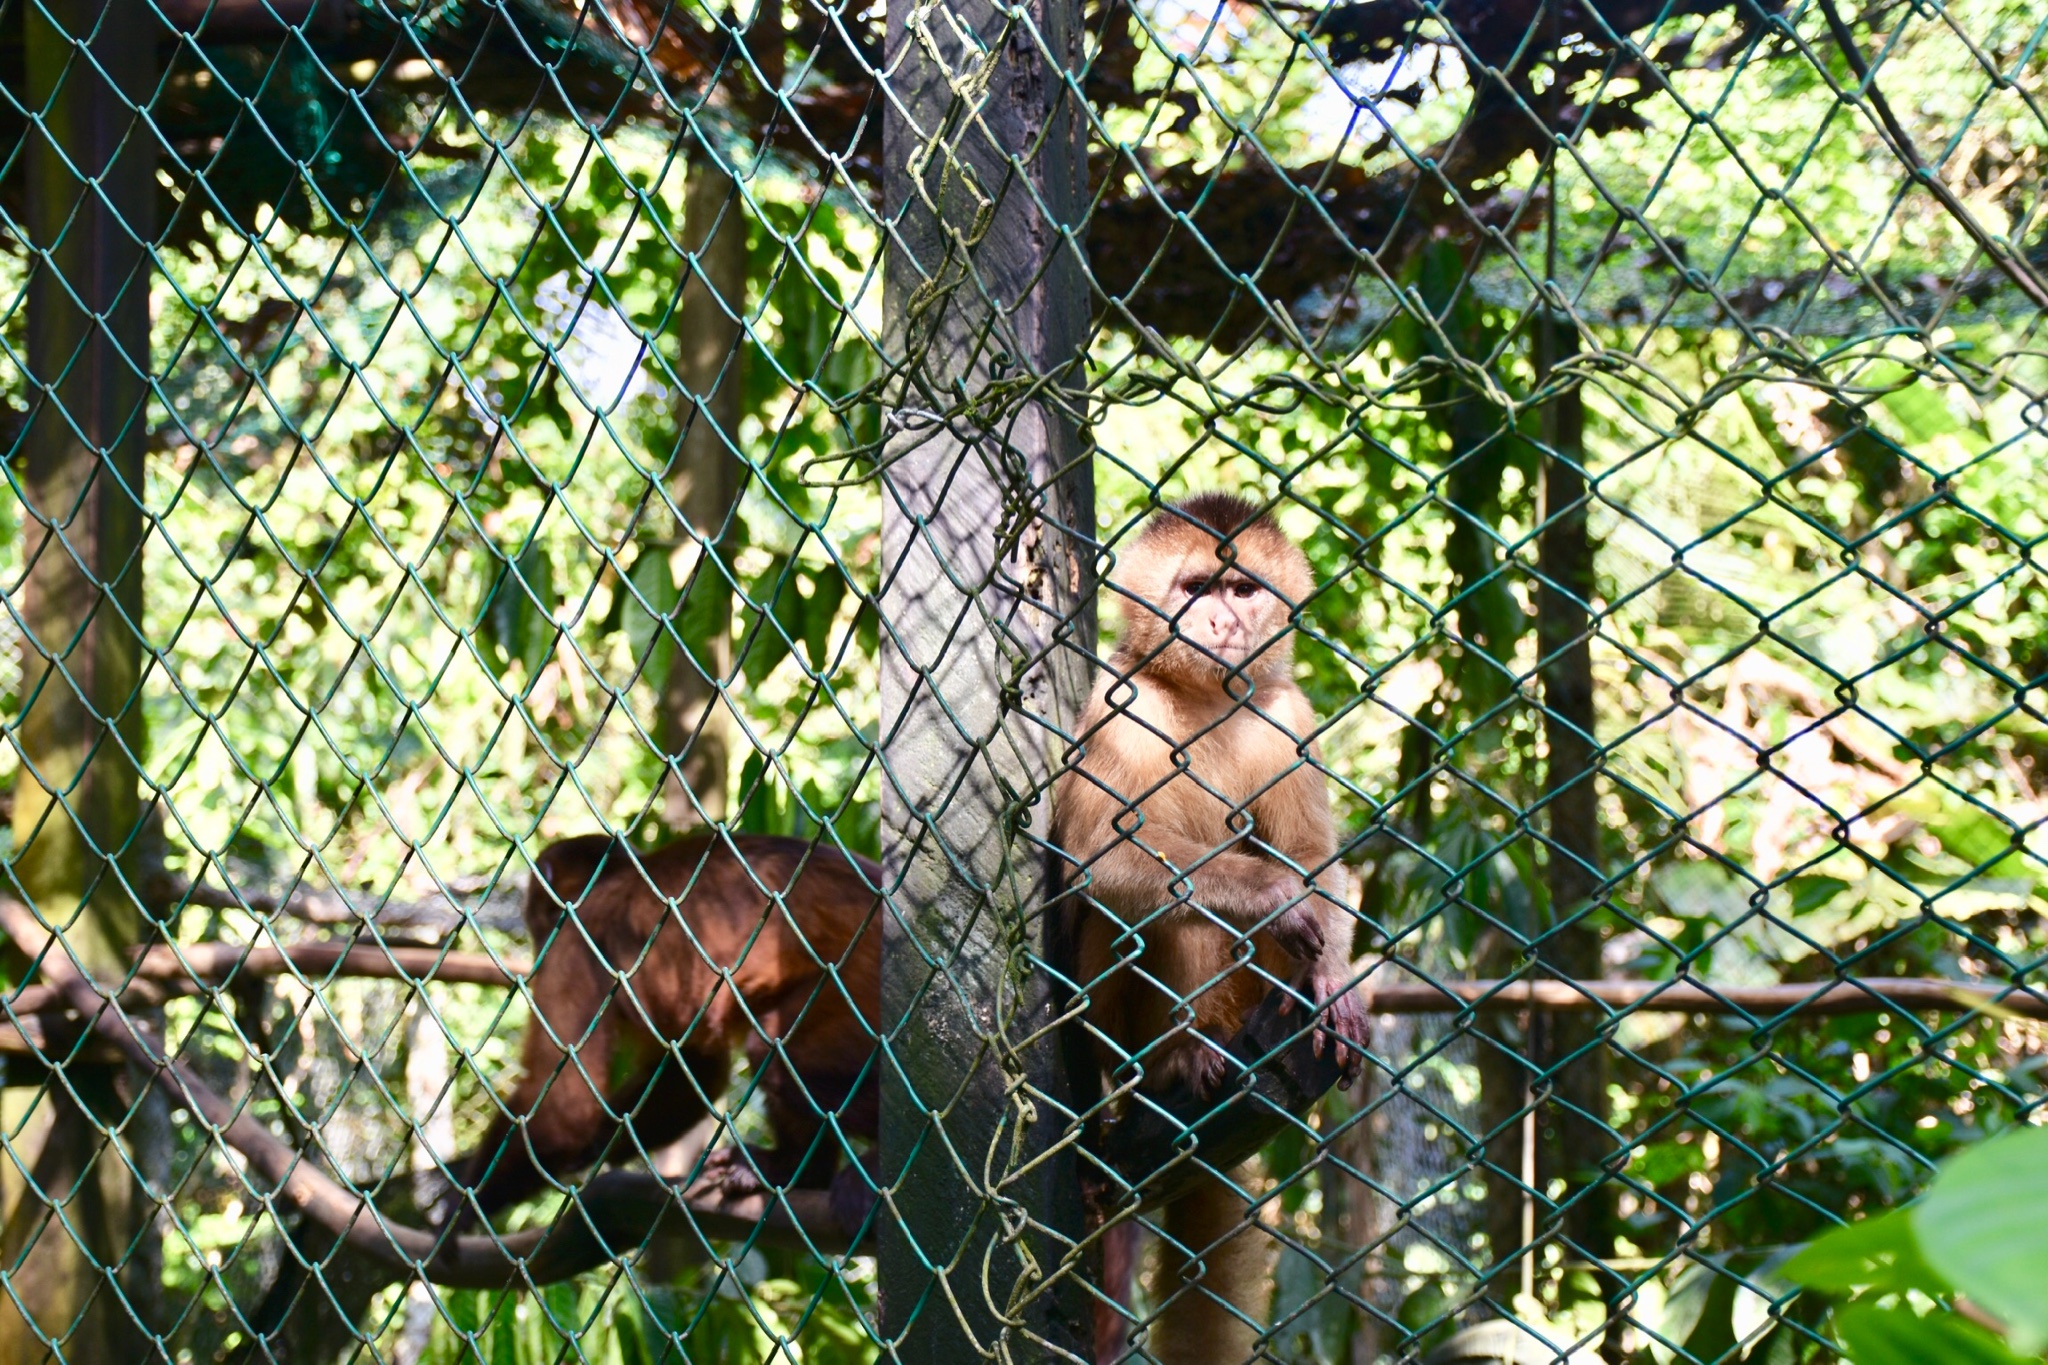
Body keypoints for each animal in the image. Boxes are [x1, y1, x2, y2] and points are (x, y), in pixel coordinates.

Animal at [448, 826, 880, 1236]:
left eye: (537, 922)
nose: (537, 946)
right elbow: (694, 1072)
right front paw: (596, 1148)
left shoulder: (573, 940)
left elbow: (564, 1111)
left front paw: (462, 1206)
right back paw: (794, 1172)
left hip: (856, 980)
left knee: (775, 1057)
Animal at [1056, 493, 1359, 1365]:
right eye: (1195, 588)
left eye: (1241, 588)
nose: (1221, 621)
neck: (1207, 695)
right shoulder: (1116, 701)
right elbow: (1102, 860)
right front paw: (1275, 895)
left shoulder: (1291, 713)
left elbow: (1319, 860)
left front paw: (1335, 979)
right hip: (1111, 1032)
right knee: (1171, 916)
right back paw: (1182, 1058)